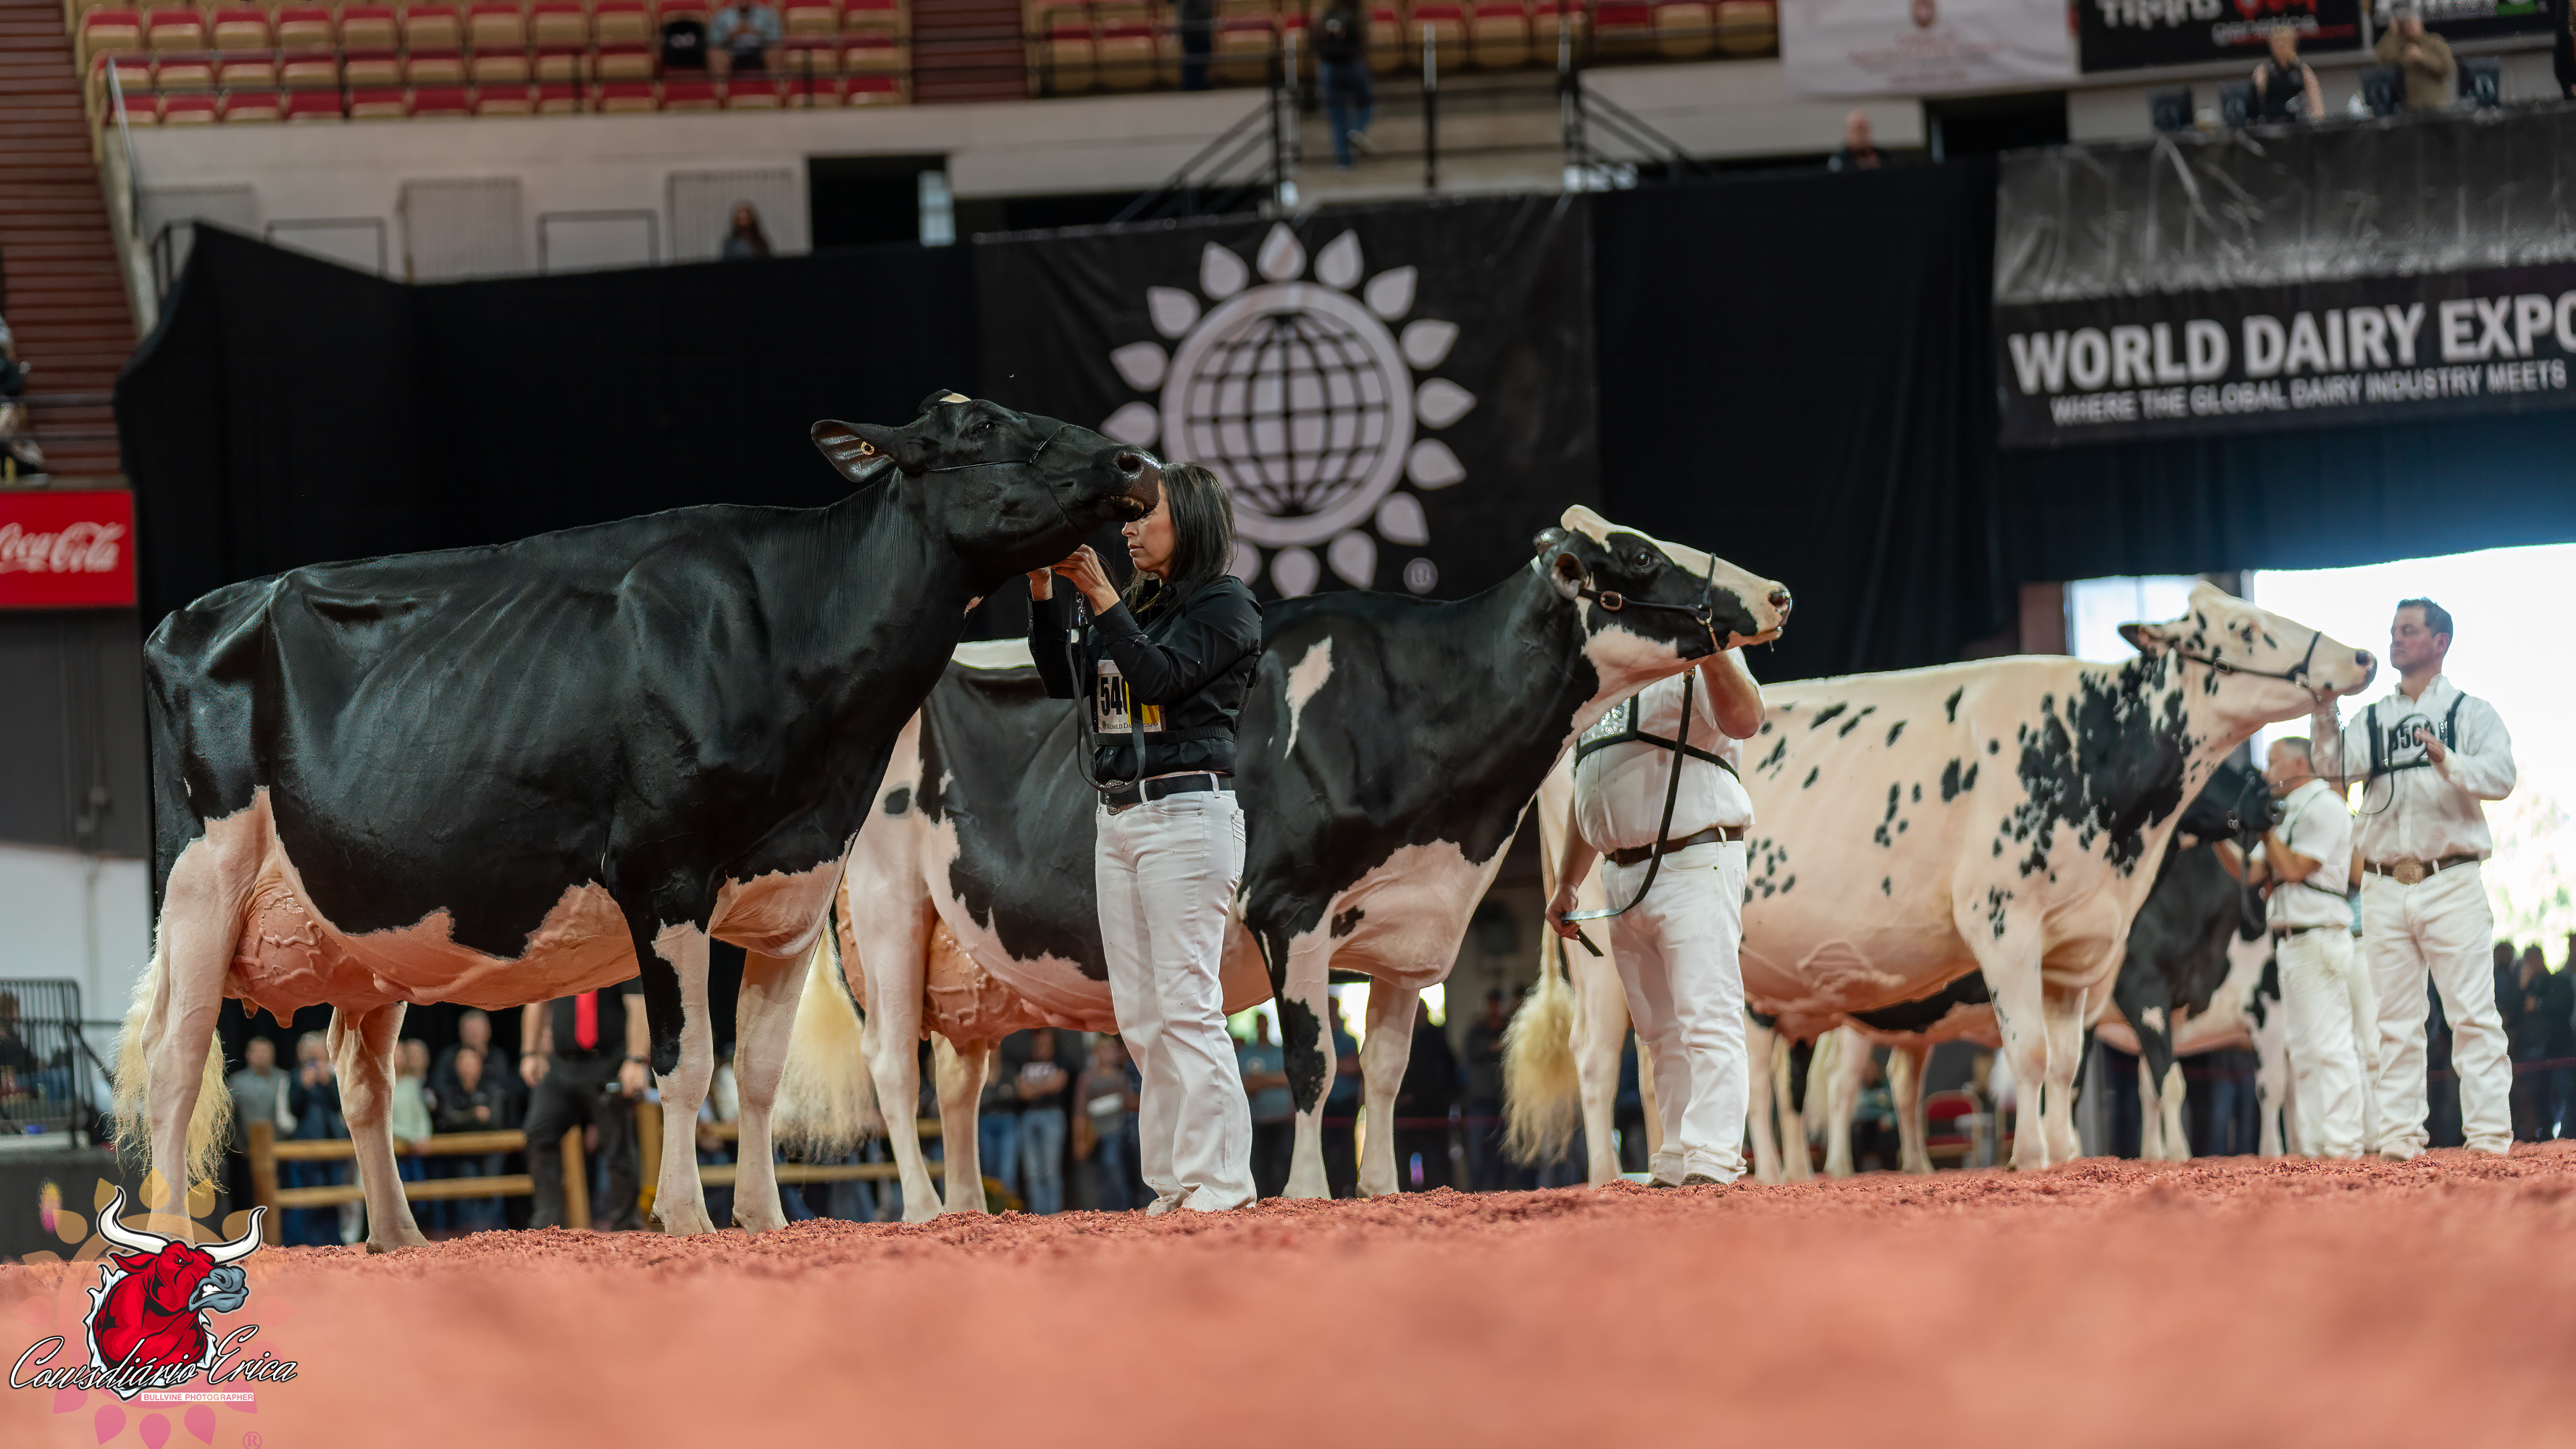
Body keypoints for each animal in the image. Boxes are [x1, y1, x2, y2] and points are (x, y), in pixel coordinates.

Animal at [118, 394, 1161, 1245]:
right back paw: (173, 1237)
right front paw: (690, 1219)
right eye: (980, 426)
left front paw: (764, 1218)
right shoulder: (665, 876)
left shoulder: (791, 896)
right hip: (201, 881)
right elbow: (686, 1063)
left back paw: (400, 1237)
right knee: (177, 1061)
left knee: (357, 1074)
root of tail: (190, 614)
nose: (1132, 462)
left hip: (369, 928)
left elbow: (759, 1072)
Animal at [775, 508, 1791, 1212]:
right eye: (1642, 556)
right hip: (885, 906)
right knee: (892, 1064)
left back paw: (969, 1207)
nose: (1776, 593)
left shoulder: (1410, 933)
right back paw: (918, 1208)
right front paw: (1306, 1190)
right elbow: (1313, 1063)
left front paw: (1380, 1187)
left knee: (958, 1079)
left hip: (962, 959)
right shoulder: (1290, 905)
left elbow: (1385, 1068)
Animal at [1505, 583, 2375, 1173]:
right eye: (2245, 627)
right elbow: (2031, 1053)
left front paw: (2066, 1152)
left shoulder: (2082, 950)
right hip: (1606, 947)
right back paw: (1618, 1174)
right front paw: (2031, 1157)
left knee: (1679, 1065)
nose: (2361, 655)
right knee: (1604, 1062)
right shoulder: (2005, 919)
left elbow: (2065, 1063)